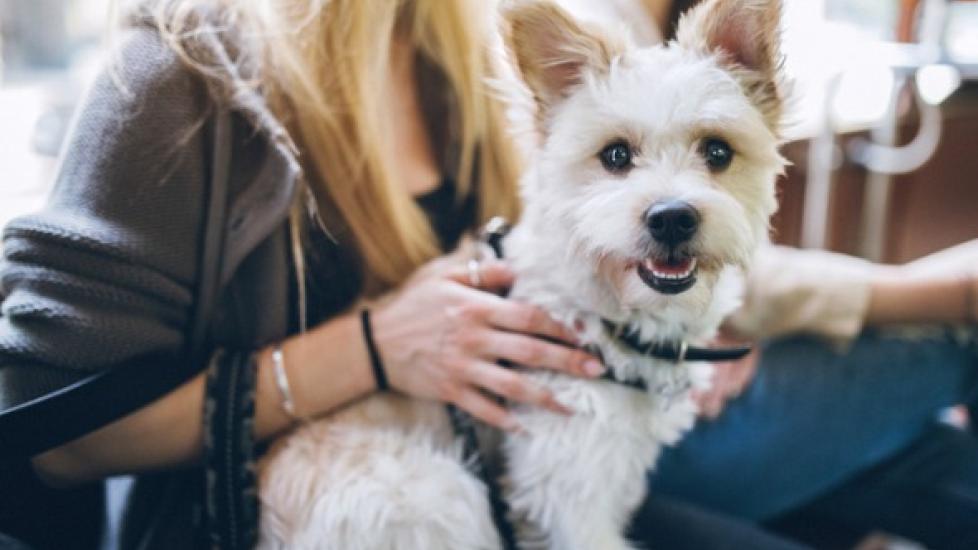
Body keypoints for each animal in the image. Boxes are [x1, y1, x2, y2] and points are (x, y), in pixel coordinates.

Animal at [258, 1, 784, 548]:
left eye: (717, 152)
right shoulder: (566, 483)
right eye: (616, 155)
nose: (672, 218)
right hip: (444, 494)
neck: (601, 314)